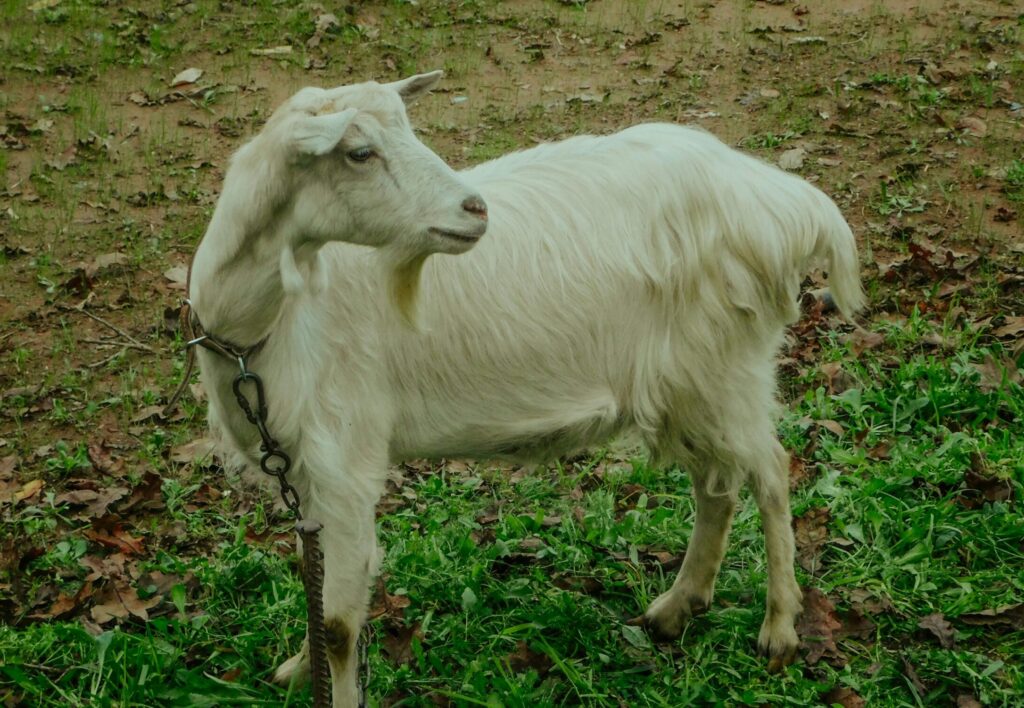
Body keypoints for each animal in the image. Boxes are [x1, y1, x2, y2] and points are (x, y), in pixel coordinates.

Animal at [187, 71, 864, 705]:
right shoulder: (303, 467)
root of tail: (789, 204)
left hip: (726, 369)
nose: (474, 209)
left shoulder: (345, 458)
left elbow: (337, 623)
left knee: (770, 472)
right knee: (717, 485)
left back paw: (779, 627)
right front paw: (302, 671)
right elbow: (315, 577)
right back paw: (677, 607)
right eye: (358, 152)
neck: (257, 332)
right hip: (691, 385)